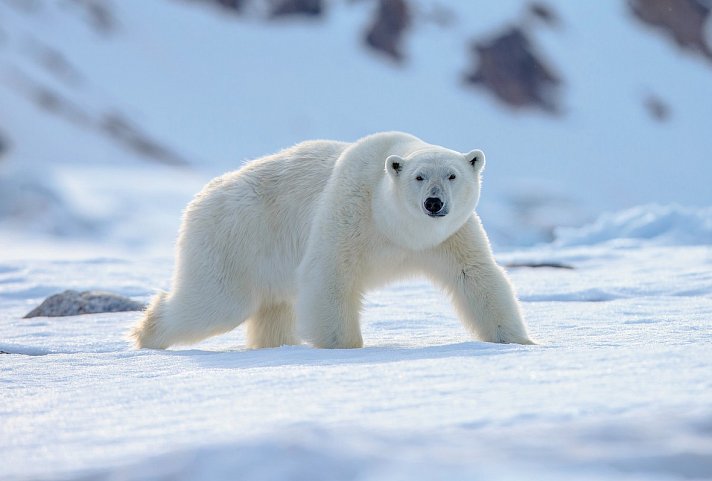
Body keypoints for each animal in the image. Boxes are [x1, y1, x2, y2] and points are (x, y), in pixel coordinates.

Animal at [131, 131, 536, 348]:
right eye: (419, 177)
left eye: (452, 175)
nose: (433, 203)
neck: (397, 228)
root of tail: (200, 198)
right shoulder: (350, 211)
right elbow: (330, 275)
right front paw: (345, 347)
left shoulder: (450, 237)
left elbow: (476, 276)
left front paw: (520, 341)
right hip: (234, 239)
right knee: (214, 302)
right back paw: (146, 334)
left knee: (273, 310)